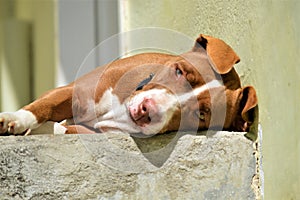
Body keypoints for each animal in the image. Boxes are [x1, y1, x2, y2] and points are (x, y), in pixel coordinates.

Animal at [0, 34, 258, 138]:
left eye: (202, 115)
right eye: (179, 72)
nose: (146, 110)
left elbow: (64, 129)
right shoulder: (72, 91)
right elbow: (42, 107)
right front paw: (14, 119)